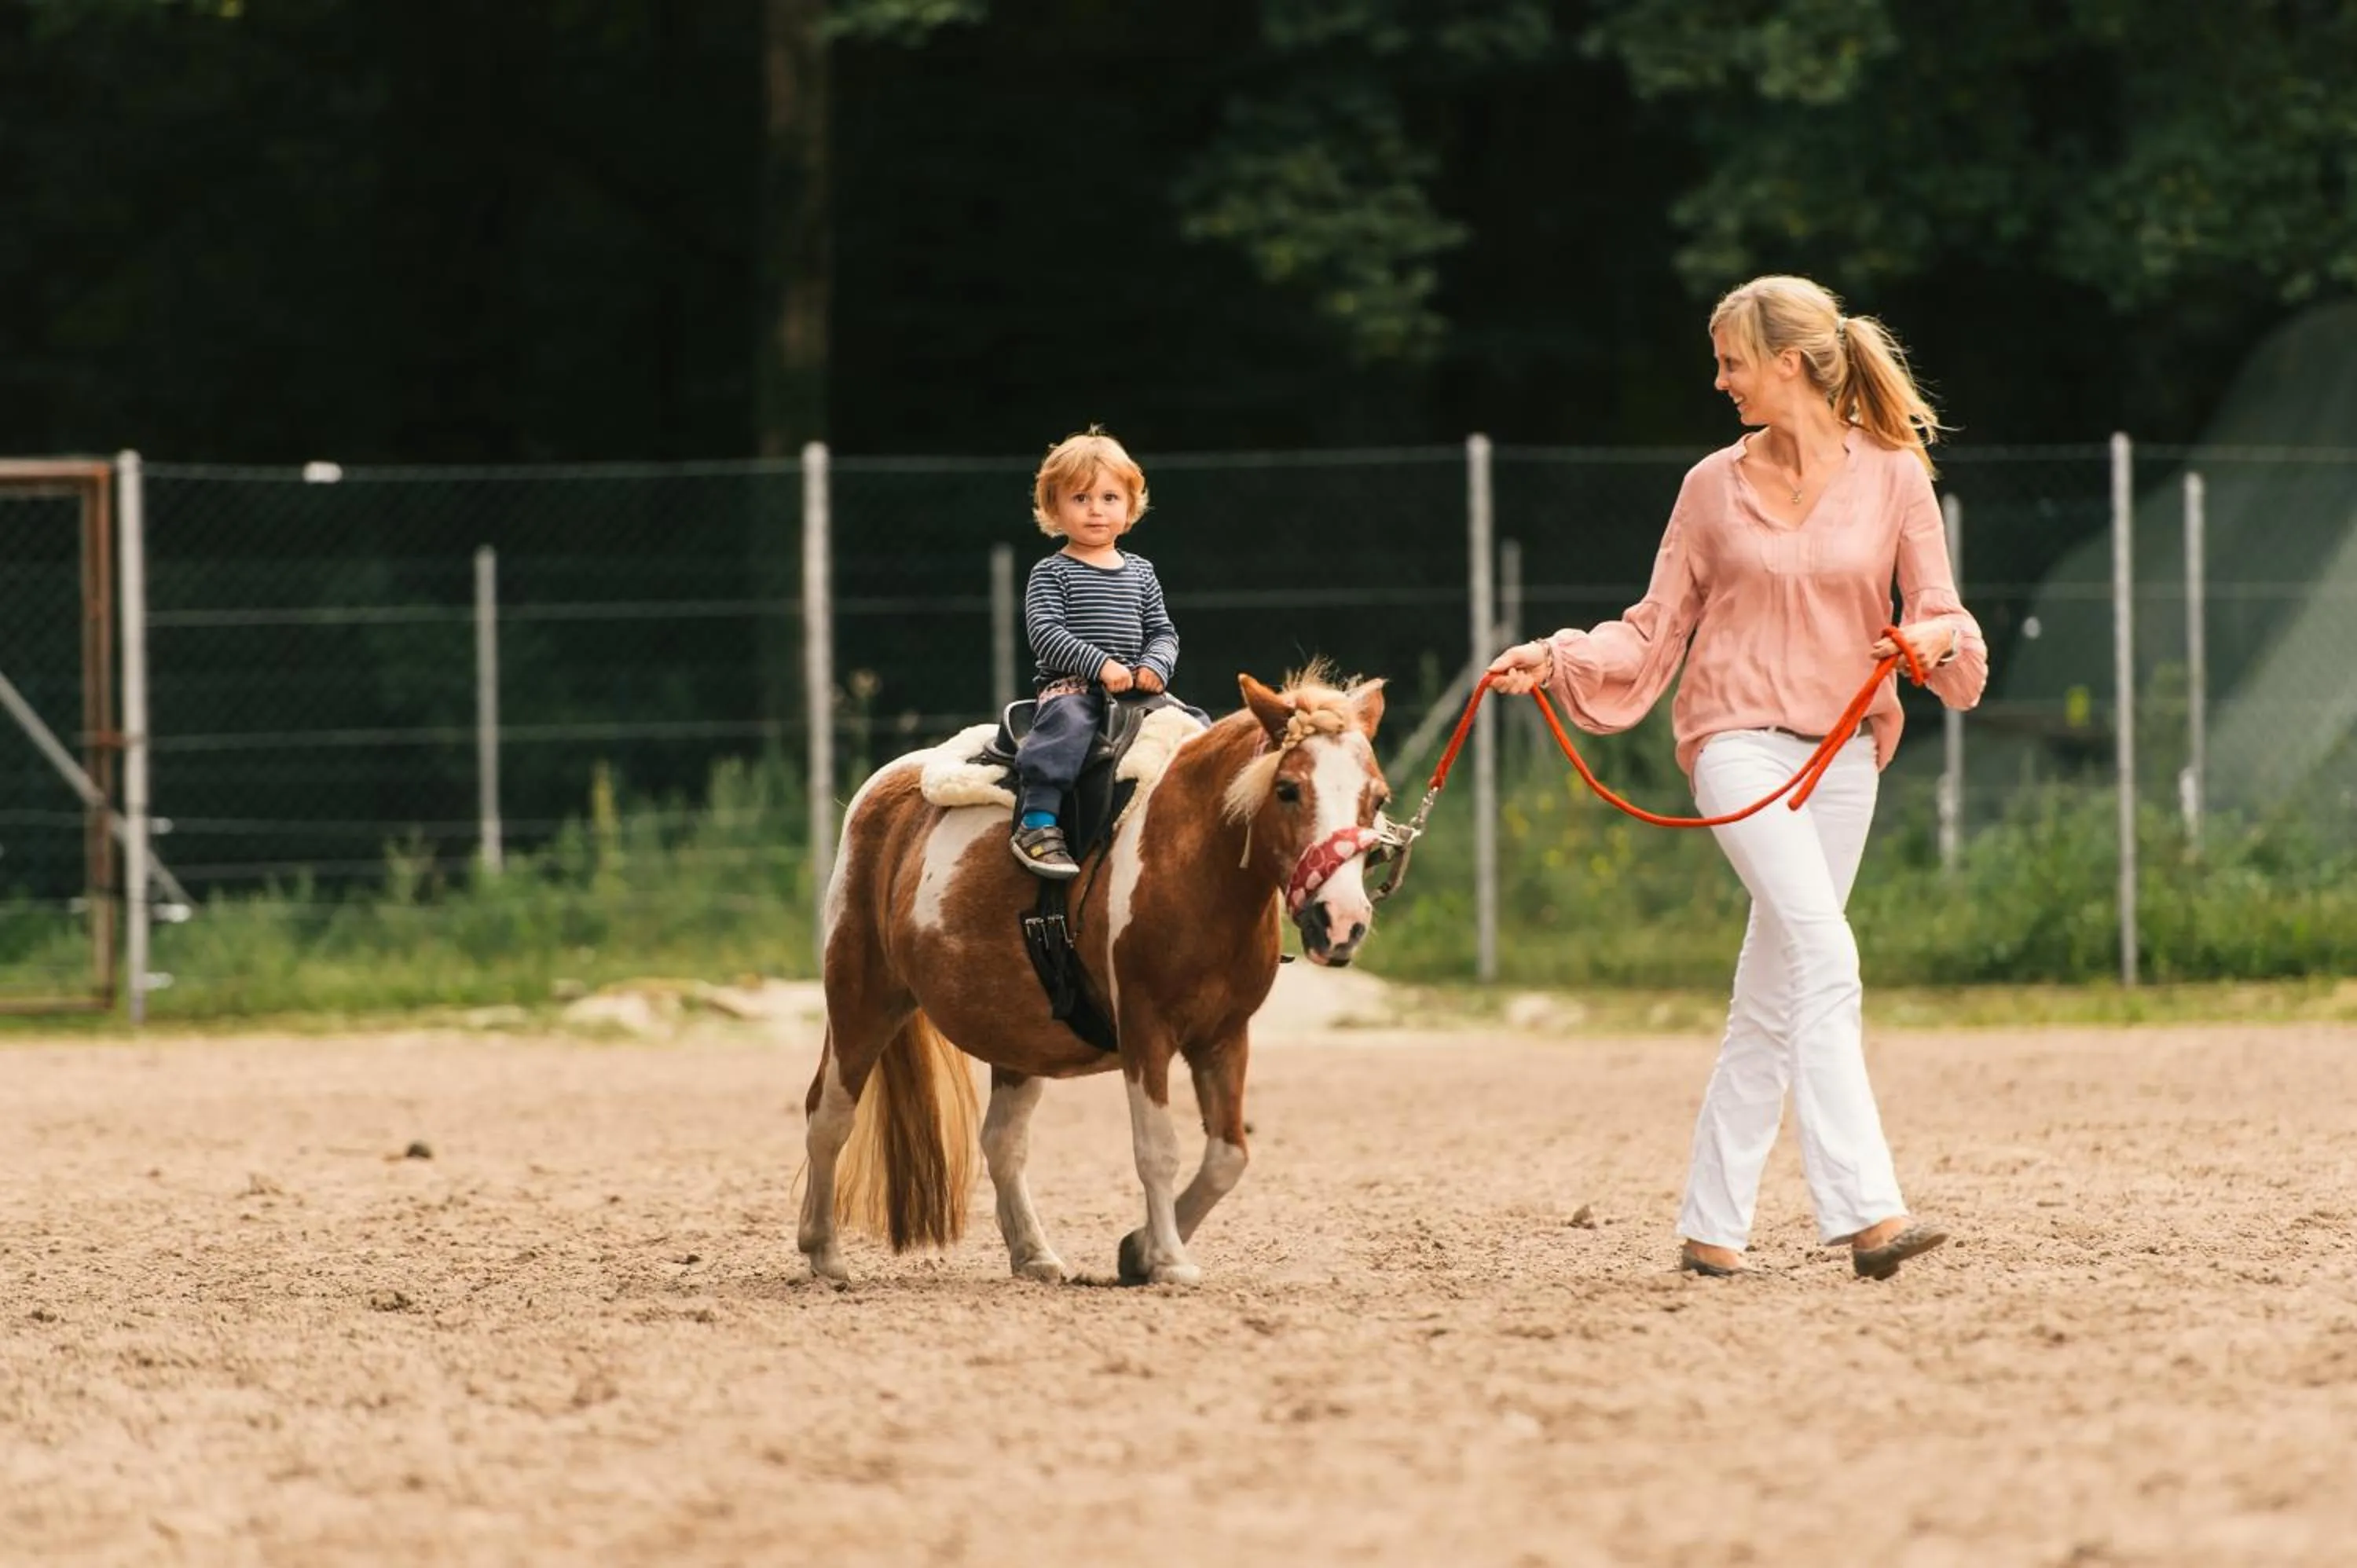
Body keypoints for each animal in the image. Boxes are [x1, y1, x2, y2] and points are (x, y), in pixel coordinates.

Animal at [798, 667, 1394, 1287]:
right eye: (1288, 790)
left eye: (1377, 798)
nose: (1341, 921)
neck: (1193, 860)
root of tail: (884, 790)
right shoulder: (1145, 1031)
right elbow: (1158, 1149)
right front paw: (1168, 1259)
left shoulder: (1225, 1036)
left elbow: (1227, 1157)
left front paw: (1138, 1250)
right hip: (861, 998)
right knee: (829, 1115)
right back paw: (825, 1252)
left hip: (1016, 1037)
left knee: (1003, 1141)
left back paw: (1033, 1253)